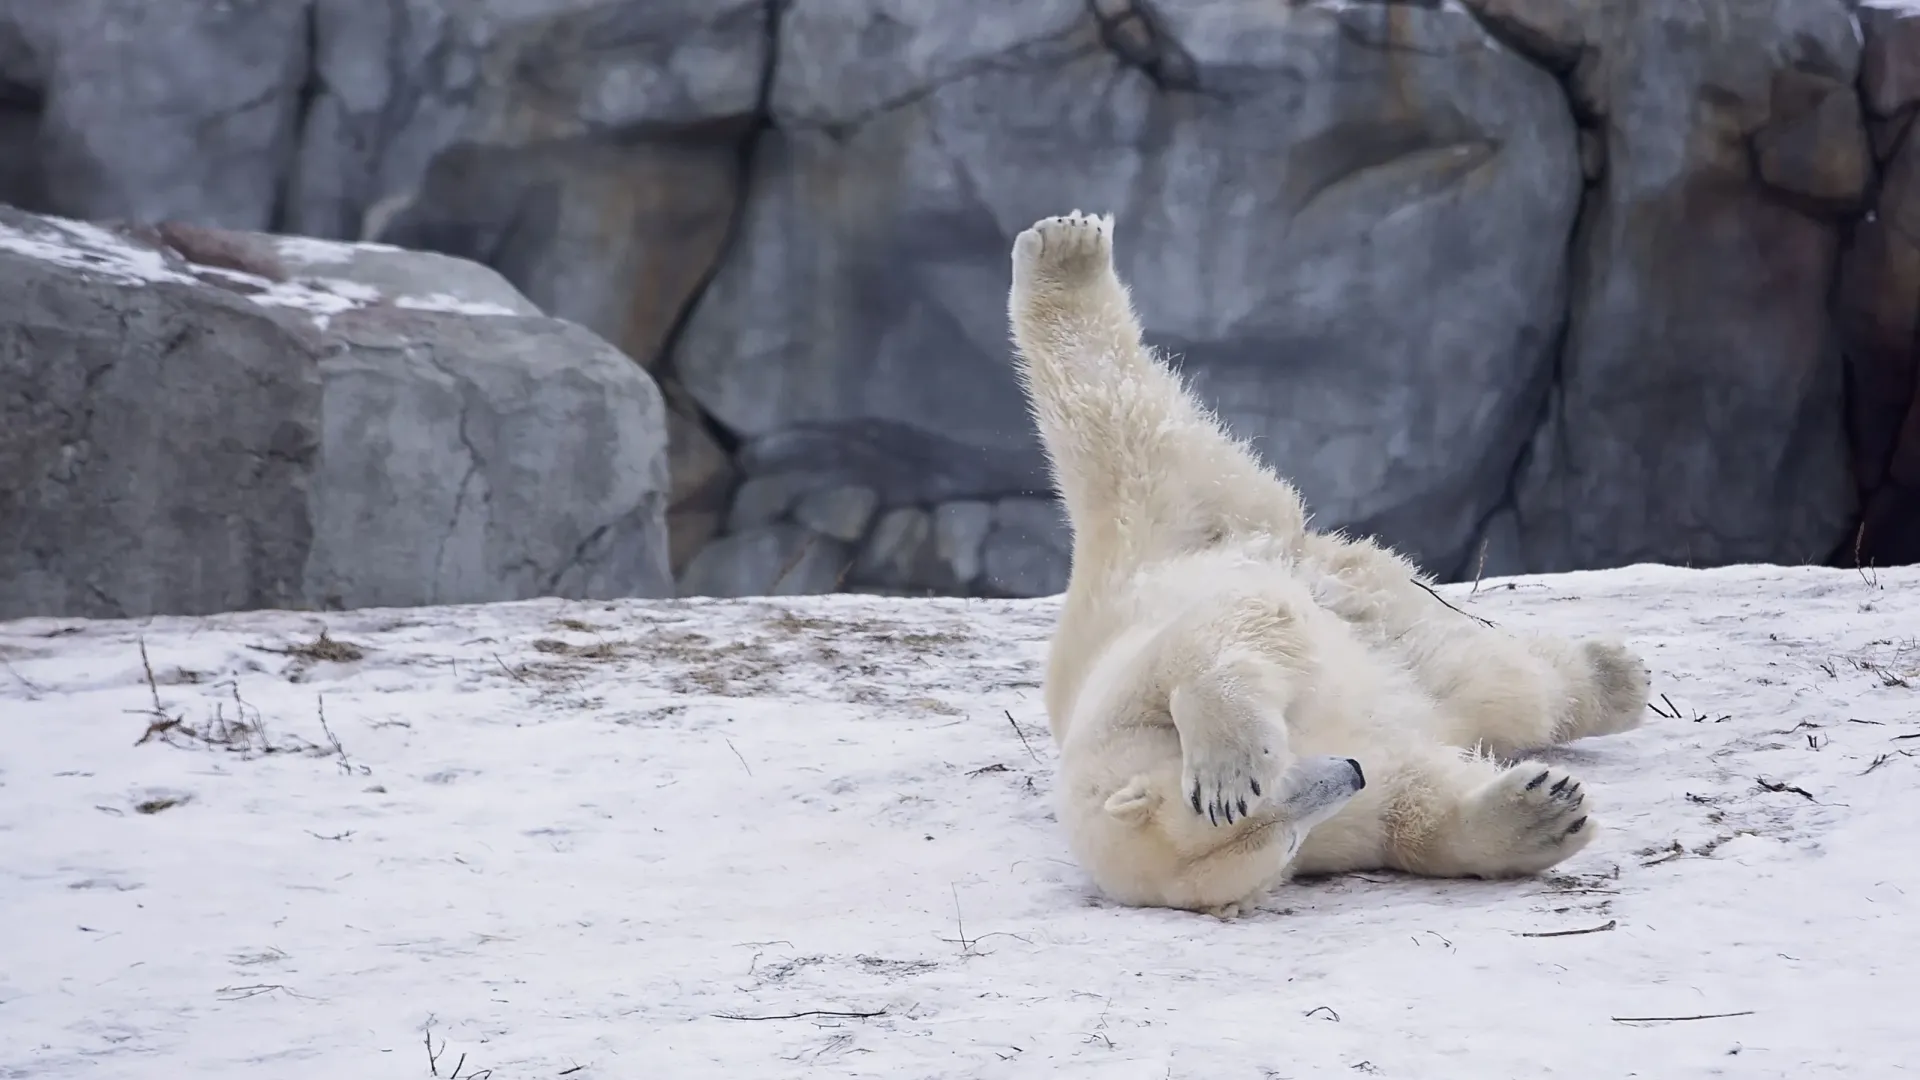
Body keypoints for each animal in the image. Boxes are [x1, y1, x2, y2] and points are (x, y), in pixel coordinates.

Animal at [1006, 205, 1651, 910]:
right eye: (1286, 840)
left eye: (1272, 786)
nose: (1350, 771)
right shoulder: (1338, 822)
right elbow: (1406, 801)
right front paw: (1540, 815)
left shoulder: (1132, 678)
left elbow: (1228, 631)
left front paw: (1227, 765)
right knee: (1496, 683)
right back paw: (1613, 679)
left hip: (1169, 516)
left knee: (1106, 412)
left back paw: (1064, 254)